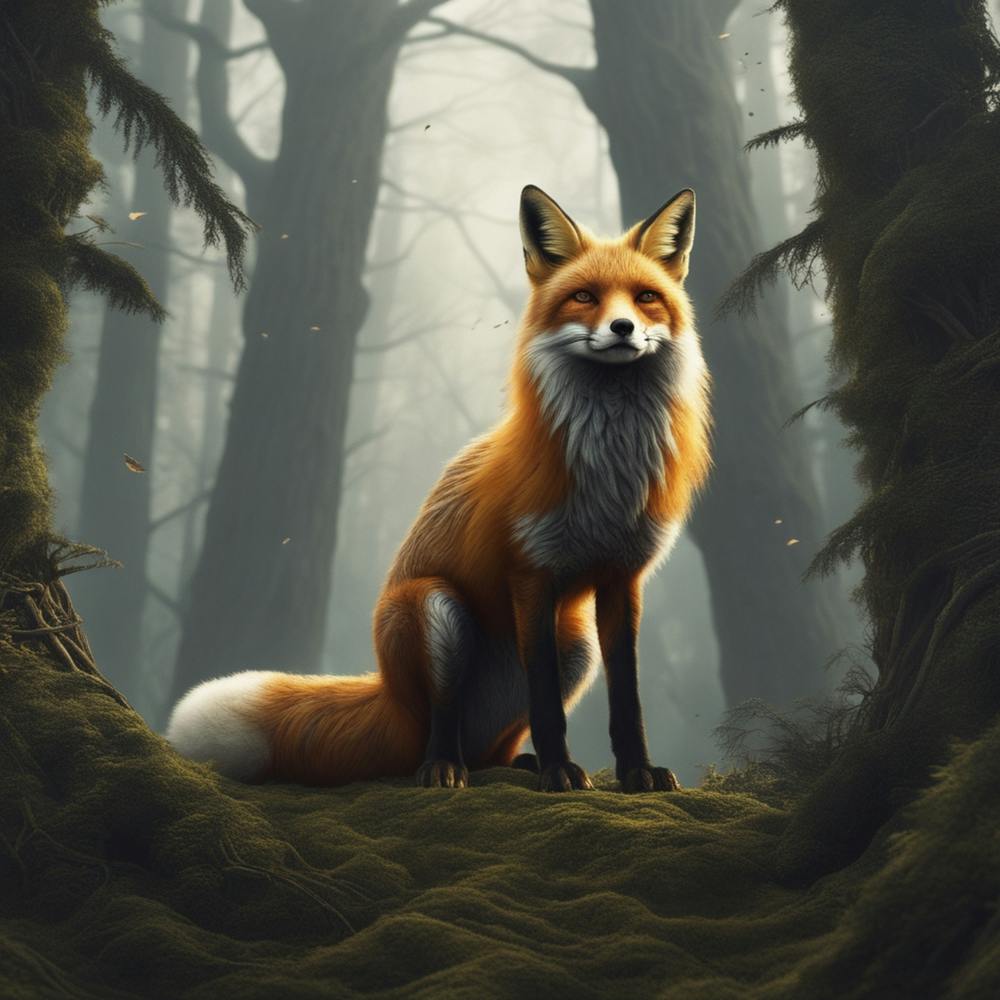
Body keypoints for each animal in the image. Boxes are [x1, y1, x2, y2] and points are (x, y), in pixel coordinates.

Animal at [167, 185, 711, 793]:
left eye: (646, 298)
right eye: (584, 297)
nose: (622, 328)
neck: (608, 478)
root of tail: (388, 695)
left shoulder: (623, 579)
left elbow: (628, 698)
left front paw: (638, 771)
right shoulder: (529, 575)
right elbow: (547, 703)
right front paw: (559, 771)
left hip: (576, 646)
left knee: (496, 743)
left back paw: (507, 762)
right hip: (438, 610)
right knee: (441, 724)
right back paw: (445, 767)